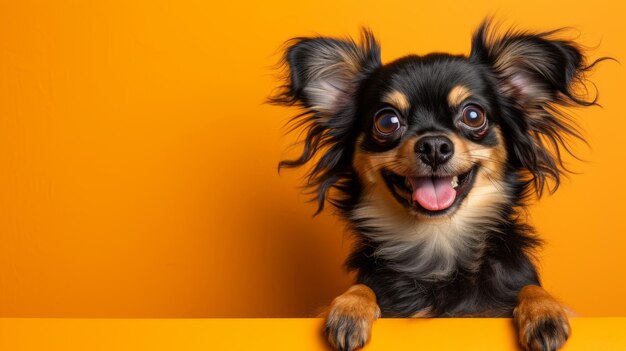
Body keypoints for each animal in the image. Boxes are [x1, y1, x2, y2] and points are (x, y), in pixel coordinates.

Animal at [270, 20, 604, 351]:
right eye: (387, 122)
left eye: (473, 115)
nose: (433, 145)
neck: (437, 239)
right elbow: (362, 288)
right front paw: (348, 306)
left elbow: (529, 288)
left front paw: (545, 310)